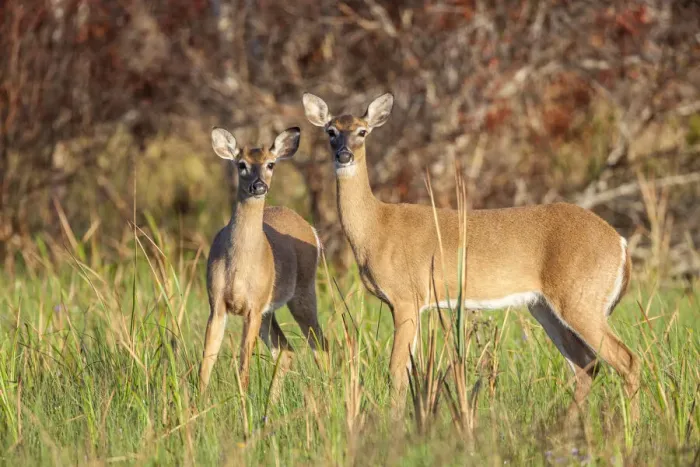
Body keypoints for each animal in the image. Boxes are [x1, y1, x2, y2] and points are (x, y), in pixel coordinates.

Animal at [199, 126, 327, 395]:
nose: (259, 186)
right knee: (287, 350)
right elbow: (206, 363)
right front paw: (196, 402)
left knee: (321, 343)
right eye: (241, 164)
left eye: (271, 164)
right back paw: (272, 400)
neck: (238, 266)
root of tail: (311, 229)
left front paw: (243, 401)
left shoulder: (253, 307)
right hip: (270, 311)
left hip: (302, 292)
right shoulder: (217, 304)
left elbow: (243, 367)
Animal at [302, 92, 640, 420]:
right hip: (545, 306)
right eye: (330, 131)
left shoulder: (407, 296)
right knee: (587, 366)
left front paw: (394, 426)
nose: (344, 155)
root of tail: (620, 242)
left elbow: (397, 372)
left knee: (626, 360)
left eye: (362, 131)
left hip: (580, 297)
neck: (376, 227)